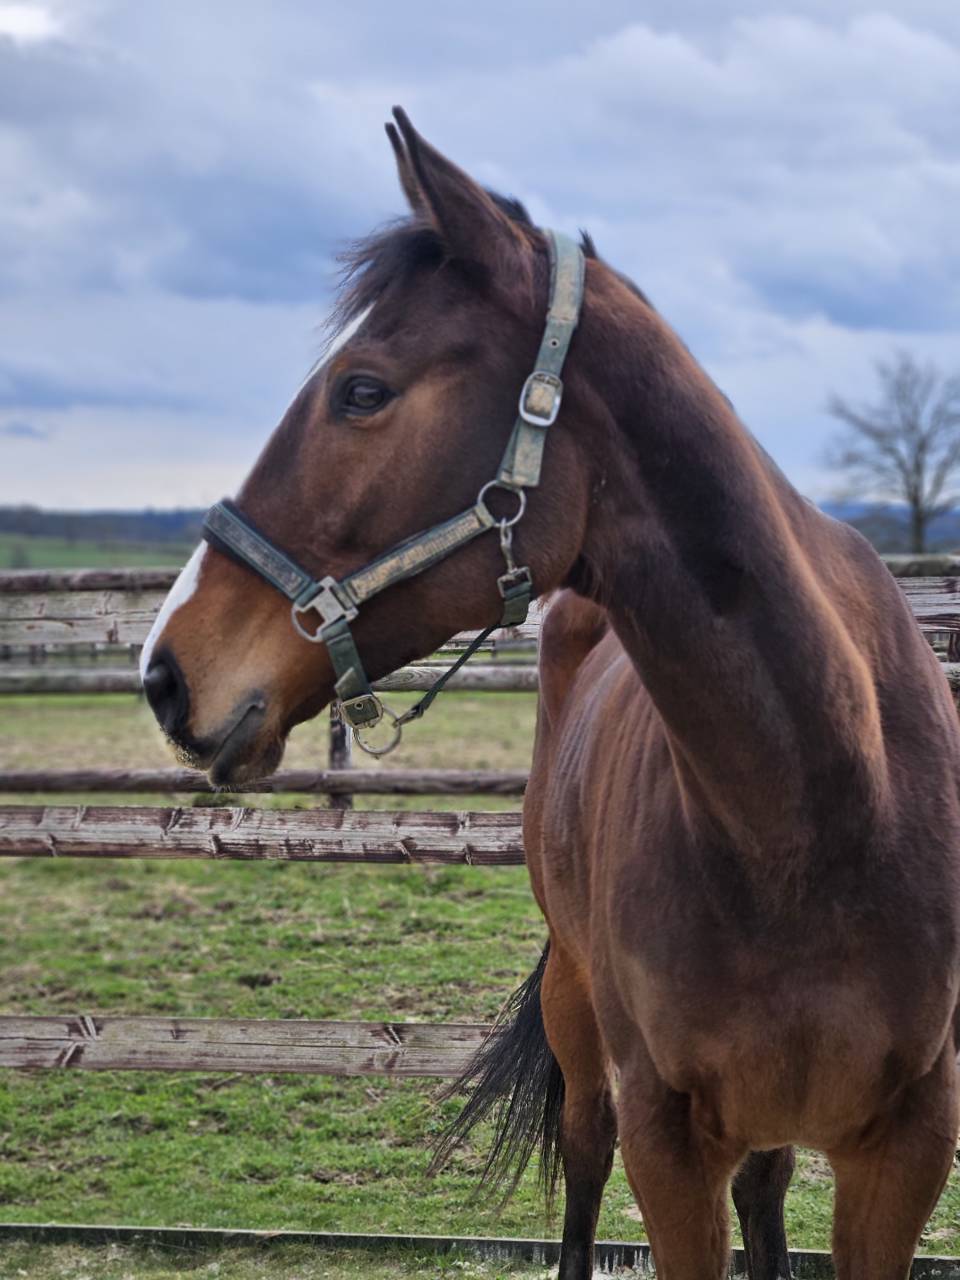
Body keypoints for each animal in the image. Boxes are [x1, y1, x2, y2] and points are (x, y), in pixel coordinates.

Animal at [140, 109, 960, 1280]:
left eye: (363, 390)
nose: (168, 671)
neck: (817, 808)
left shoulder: (907, 1146)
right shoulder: (669, 1139)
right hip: (579, 1011)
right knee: (582, 1156)